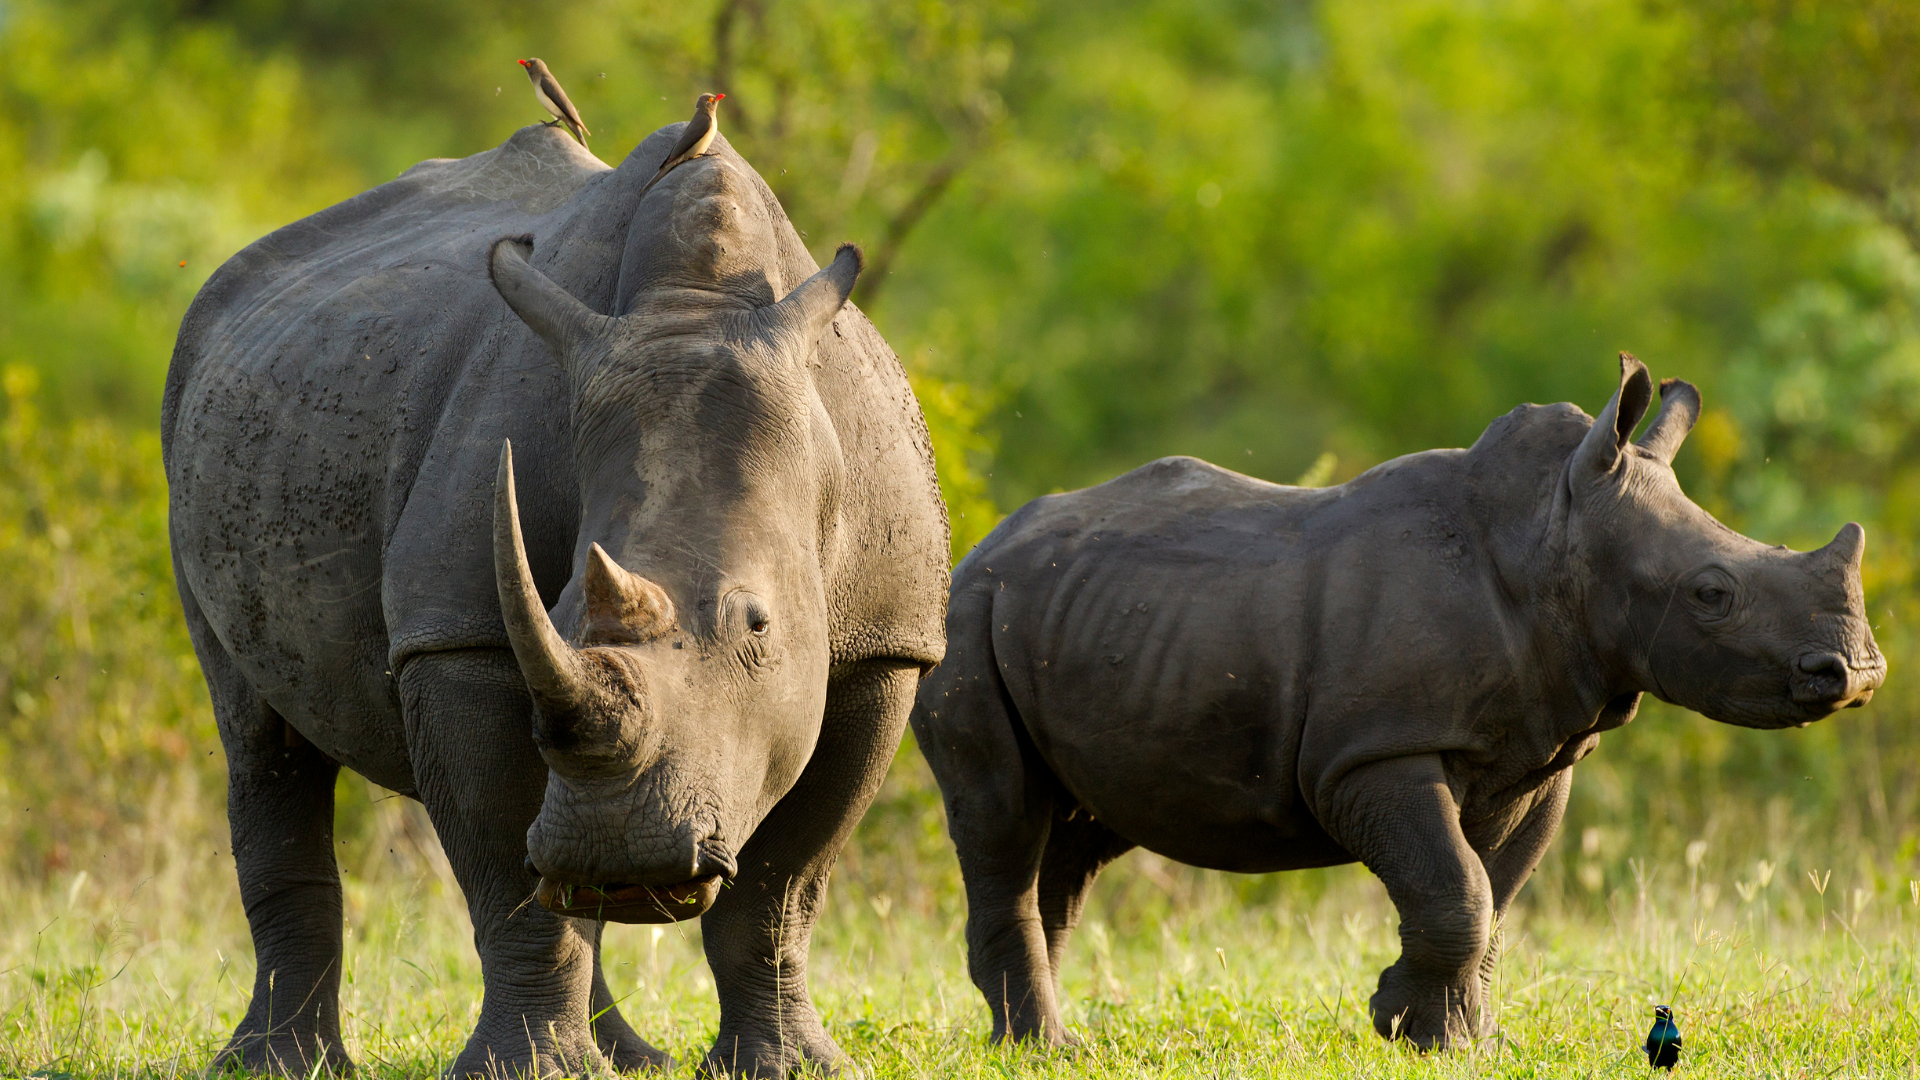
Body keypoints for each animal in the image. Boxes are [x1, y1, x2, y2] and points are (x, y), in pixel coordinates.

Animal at [164, 123, 947, 1077]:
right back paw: (280, 1064)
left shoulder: (885, 643)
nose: (628, 853)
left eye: (758, 624)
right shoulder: (458, 636)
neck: (694, 306)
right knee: (258, 736)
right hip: (202, 417)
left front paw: (790, 1067)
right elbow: (509, 869)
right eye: (561, 609)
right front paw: (525, 1070)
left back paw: (630, 1051)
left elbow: (783, 885)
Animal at [911, 355, 1883, 1049]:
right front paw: (1414, 1030)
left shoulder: (1537, 751)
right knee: (1003, 816)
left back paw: (1035, 1039)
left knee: (1072, 838)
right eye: (1712, 594)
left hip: (1079, 618)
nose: (1857, 673)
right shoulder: (1375, 750)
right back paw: (1043, 1047)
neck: (1552, 535)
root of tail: (980, 546)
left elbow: (1490, 895)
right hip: (965, 624)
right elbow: (1456, 888)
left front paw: (1445, 1034)